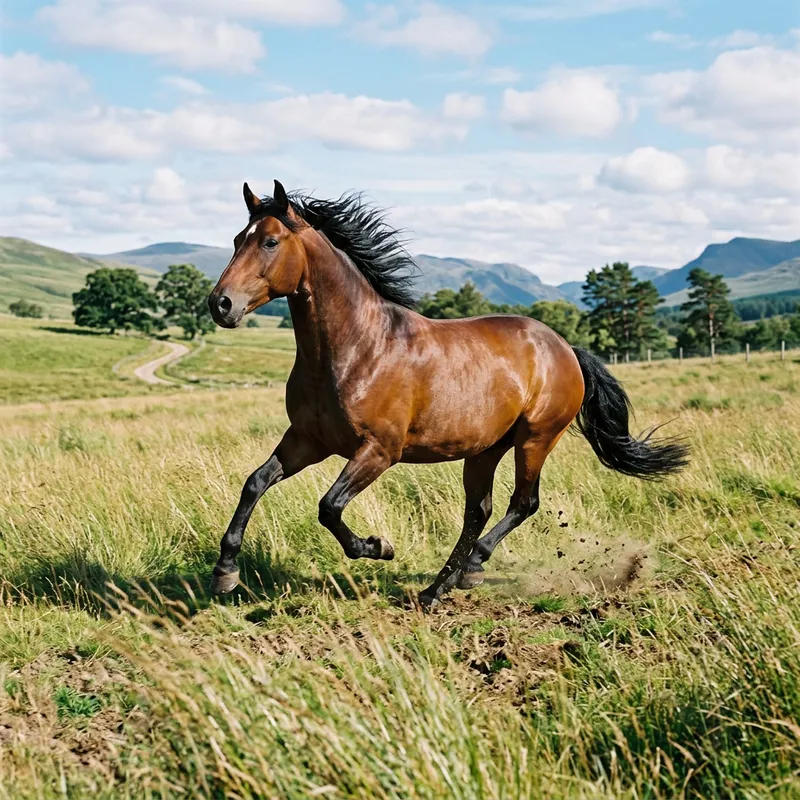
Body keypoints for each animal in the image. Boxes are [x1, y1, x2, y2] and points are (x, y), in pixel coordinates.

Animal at [207, 180, 689, 610]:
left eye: (270, 242)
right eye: (237, 239)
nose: (220, 304)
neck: (357, 349)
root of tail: (564, 347)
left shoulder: (379, 450)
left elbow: (329, 506)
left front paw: (378, 547)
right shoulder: (308, 440)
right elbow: (255, 482)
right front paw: (225, 573)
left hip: (536, 438)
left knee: (523, 503)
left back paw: (469, 570)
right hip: (485, 449)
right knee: (479, 510)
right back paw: (439, 588)